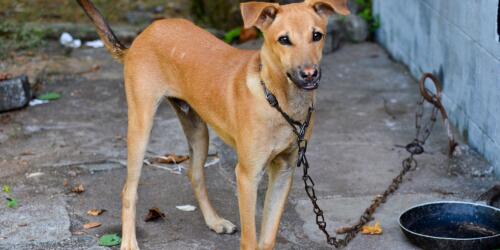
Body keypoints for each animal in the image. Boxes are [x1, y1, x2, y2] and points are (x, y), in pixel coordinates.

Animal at [78, 0, 350, 249]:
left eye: (317, 36)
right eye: (283, 39)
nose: (309, 74)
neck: (278, 101)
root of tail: (143, 35)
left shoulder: (284, 171)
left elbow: (268, 238)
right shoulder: (247, 176)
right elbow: (250, 239)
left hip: (198, 130)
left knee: (195, 174)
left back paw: (214, 221)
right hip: (140, 126)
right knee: (129, 190)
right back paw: (129, 242)